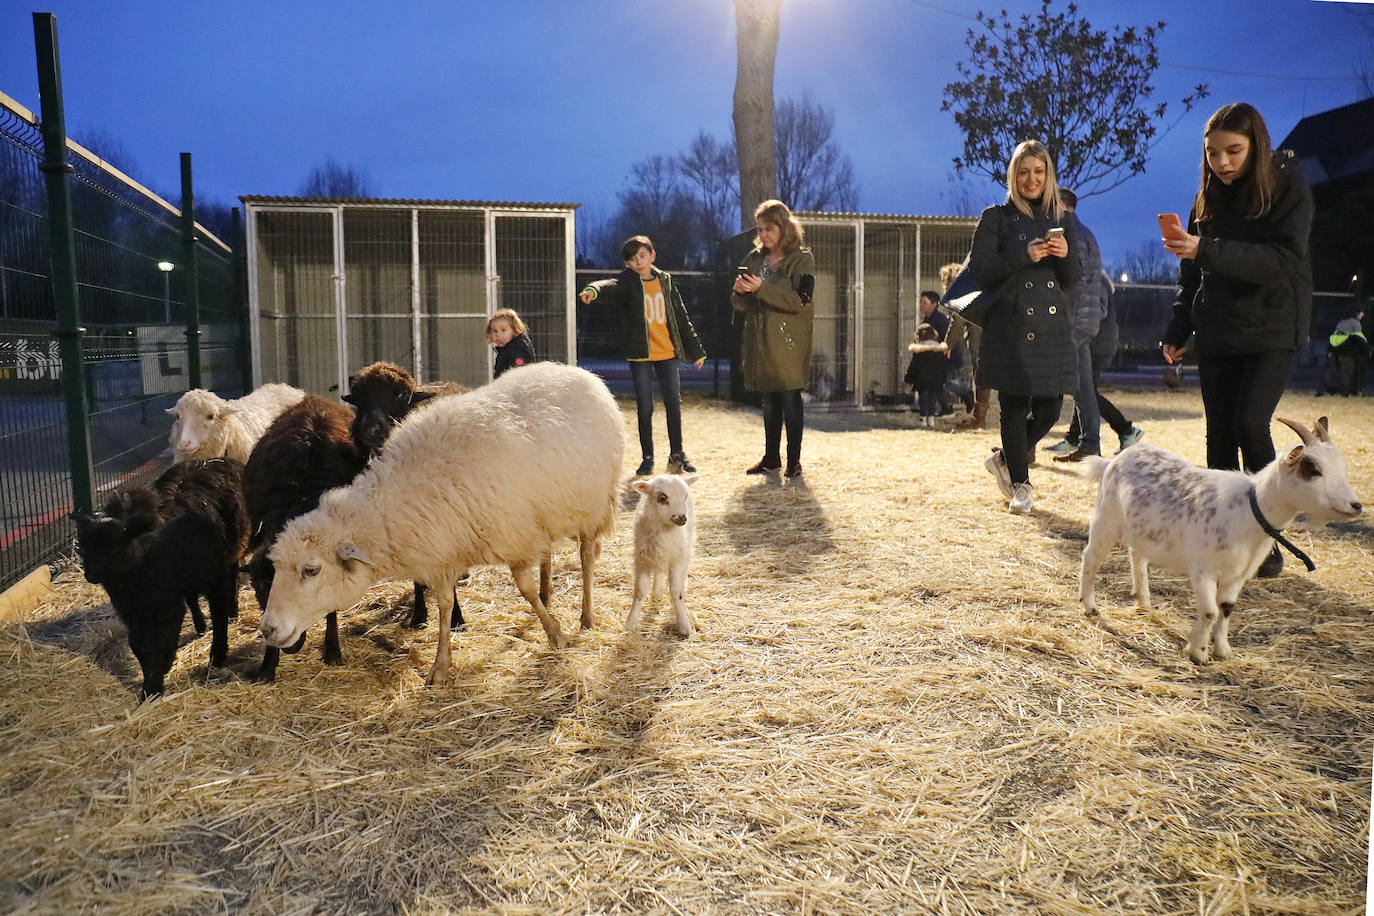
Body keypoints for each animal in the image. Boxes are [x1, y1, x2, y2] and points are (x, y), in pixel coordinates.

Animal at [69, 458, 248, 703]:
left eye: (115, 547)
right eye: (84, 548)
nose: (91, 575)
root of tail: (222, 460)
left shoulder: (166, 606)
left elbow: (164, 640)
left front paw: (158, 677)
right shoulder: (132, 611)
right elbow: (138, 645)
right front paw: (150, 683)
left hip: (223, 560)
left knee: (223, 601)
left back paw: (221, 644)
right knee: (195, 598)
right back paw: (201, 627)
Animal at [255, 362, 626, 683]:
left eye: (311, 569)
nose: (267, 629)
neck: (394, 500)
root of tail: (577, 371)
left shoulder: (513, 536)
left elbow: (525, 590)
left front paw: (555, 633)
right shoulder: (444, 553)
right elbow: (445, 606)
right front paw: (441, 665)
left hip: (594, 504)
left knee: (586, 558)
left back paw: (586, 617)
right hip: (548, 511)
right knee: (549, 552)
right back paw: (552, 594)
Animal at [629, 472, 703, 637]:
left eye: (685, 496)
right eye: (662, 498)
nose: (682, 518)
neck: (664, 531)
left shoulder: (677, 559)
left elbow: (676, 591)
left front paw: (683, 624)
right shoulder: (642, 559)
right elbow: (640, 591)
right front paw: (630, 623)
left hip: (686, 548)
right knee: (658, 572)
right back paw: (657, 591)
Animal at [1082, 417, 1363, 667]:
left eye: (1342, 467)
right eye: (1313, 469)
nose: (1356, 505)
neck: (1251, 509)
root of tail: (1114, 460)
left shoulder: (1238, 575)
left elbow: (1226, 608)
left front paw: (1222, 650)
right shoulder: (1203, 570)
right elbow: (1210, 611)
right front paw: (1198, 652)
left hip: (1142, 530)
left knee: (1137, 557)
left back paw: (1143, 602)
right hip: (1106, 520)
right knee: (1091, 557)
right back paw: (1090, 606)